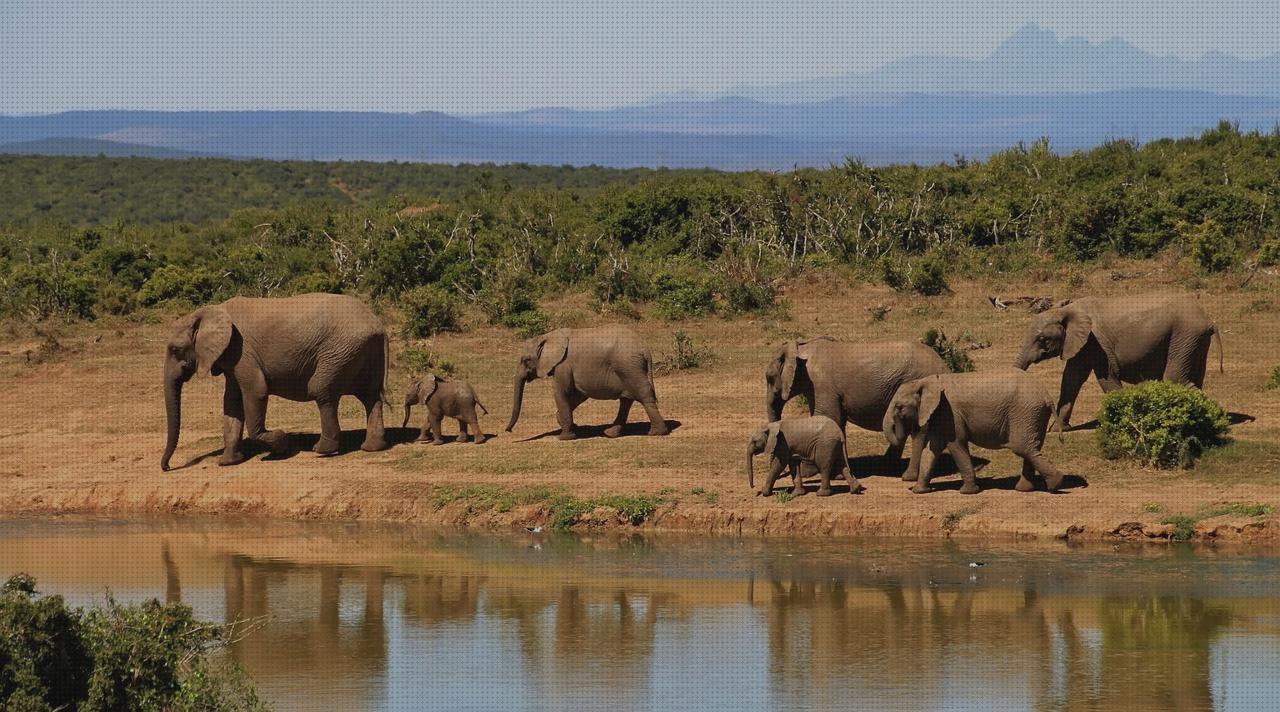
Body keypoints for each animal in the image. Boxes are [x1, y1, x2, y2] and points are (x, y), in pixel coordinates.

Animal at [157, 291, 384, 471]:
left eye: (175, 350)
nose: (167, 467)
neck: (209, 312)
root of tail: (376, 324)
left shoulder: (241, 351)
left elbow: (256, 391)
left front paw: (281, 444)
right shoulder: (231, 356)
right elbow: (231, 402)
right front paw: (228, 462)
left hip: (339, 352)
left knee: (321, 391)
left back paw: (322, 450)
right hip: (362, 351)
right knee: (370, 396)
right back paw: (371, 448)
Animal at [504, 323, 670, 435]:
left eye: (526, 360)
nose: (508, 431)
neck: (547, 336)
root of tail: (645, 349)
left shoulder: (563, 364)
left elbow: (562, 392)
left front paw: (566, 433)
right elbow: (579, 394)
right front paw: (570, 425)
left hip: (628, 365)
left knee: (643, 394)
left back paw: (656, 432)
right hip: (627, 367)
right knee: (626, 399)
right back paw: (610, 433)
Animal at [757, 338, 952, 461]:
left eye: (769, 377)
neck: (801, 347)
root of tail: (945, 366)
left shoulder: (821, 384)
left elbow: (828, 417)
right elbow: (836, 421)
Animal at [885, 366, 1075, 494]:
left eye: (899, 407)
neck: (927, 381)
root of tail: (1047, 396)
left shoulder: (950, 412)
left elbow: (956, 444)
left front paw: (967, 492)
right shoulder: (941, 414)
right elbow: (933, 448)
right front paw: (919, 491)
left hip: (1025, 412)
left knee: (1022, 447)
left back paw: (1055, 485)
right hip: (1034, 415)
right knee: (1031, 448)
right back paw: (1025, 489)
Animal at [1013, 290, 1223, 432]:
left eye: (1042, 339)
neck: (1066, 310)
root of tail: (1209, 321)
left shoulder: (1097, 342)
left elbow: (1106, 377)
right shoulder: (1081, 343)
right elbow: (1071, 379)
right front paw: (1057, 430)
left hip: (1184, 335)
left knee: (1175, 378)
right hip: (1194, 340)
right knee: (1193, 378)